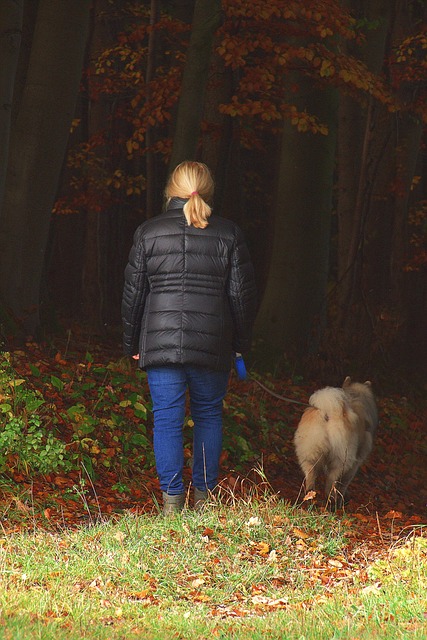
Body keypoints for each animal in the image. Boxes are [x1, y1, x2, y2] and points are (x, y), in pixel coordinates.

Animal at [294, 378, 378, 508]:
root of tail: (328, 412)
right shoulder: (355, 463)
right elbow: (345, 483)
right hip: (341, 461)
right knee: (331, 483)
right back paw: (332, 502)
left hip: (308, 455)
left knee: (310, 479)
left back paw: (309, 498)